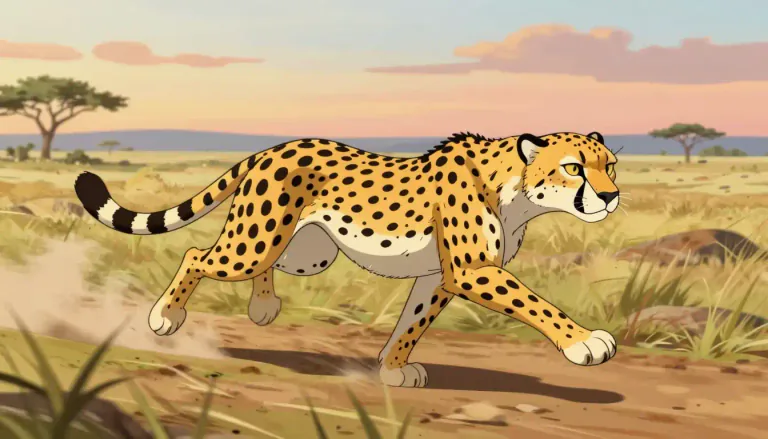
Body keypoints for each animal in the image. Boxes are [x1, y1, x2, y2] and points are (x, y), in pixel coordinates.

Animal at [74, 130, 621, 388]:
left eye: (610, 165)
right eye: (574, 168)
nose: (612, 196)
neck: (518, 190)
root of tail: (274, 147)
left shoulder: (439, 276)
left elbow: (412, 323)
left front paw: (394, 369)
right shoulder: (473, 272)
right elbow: (535, 302)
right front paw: (584, 342)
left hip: (303, 253)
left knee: (255, 265)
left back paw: (262, 308)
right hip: (254, 241)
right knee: (195, 253)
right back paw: (165, 316)